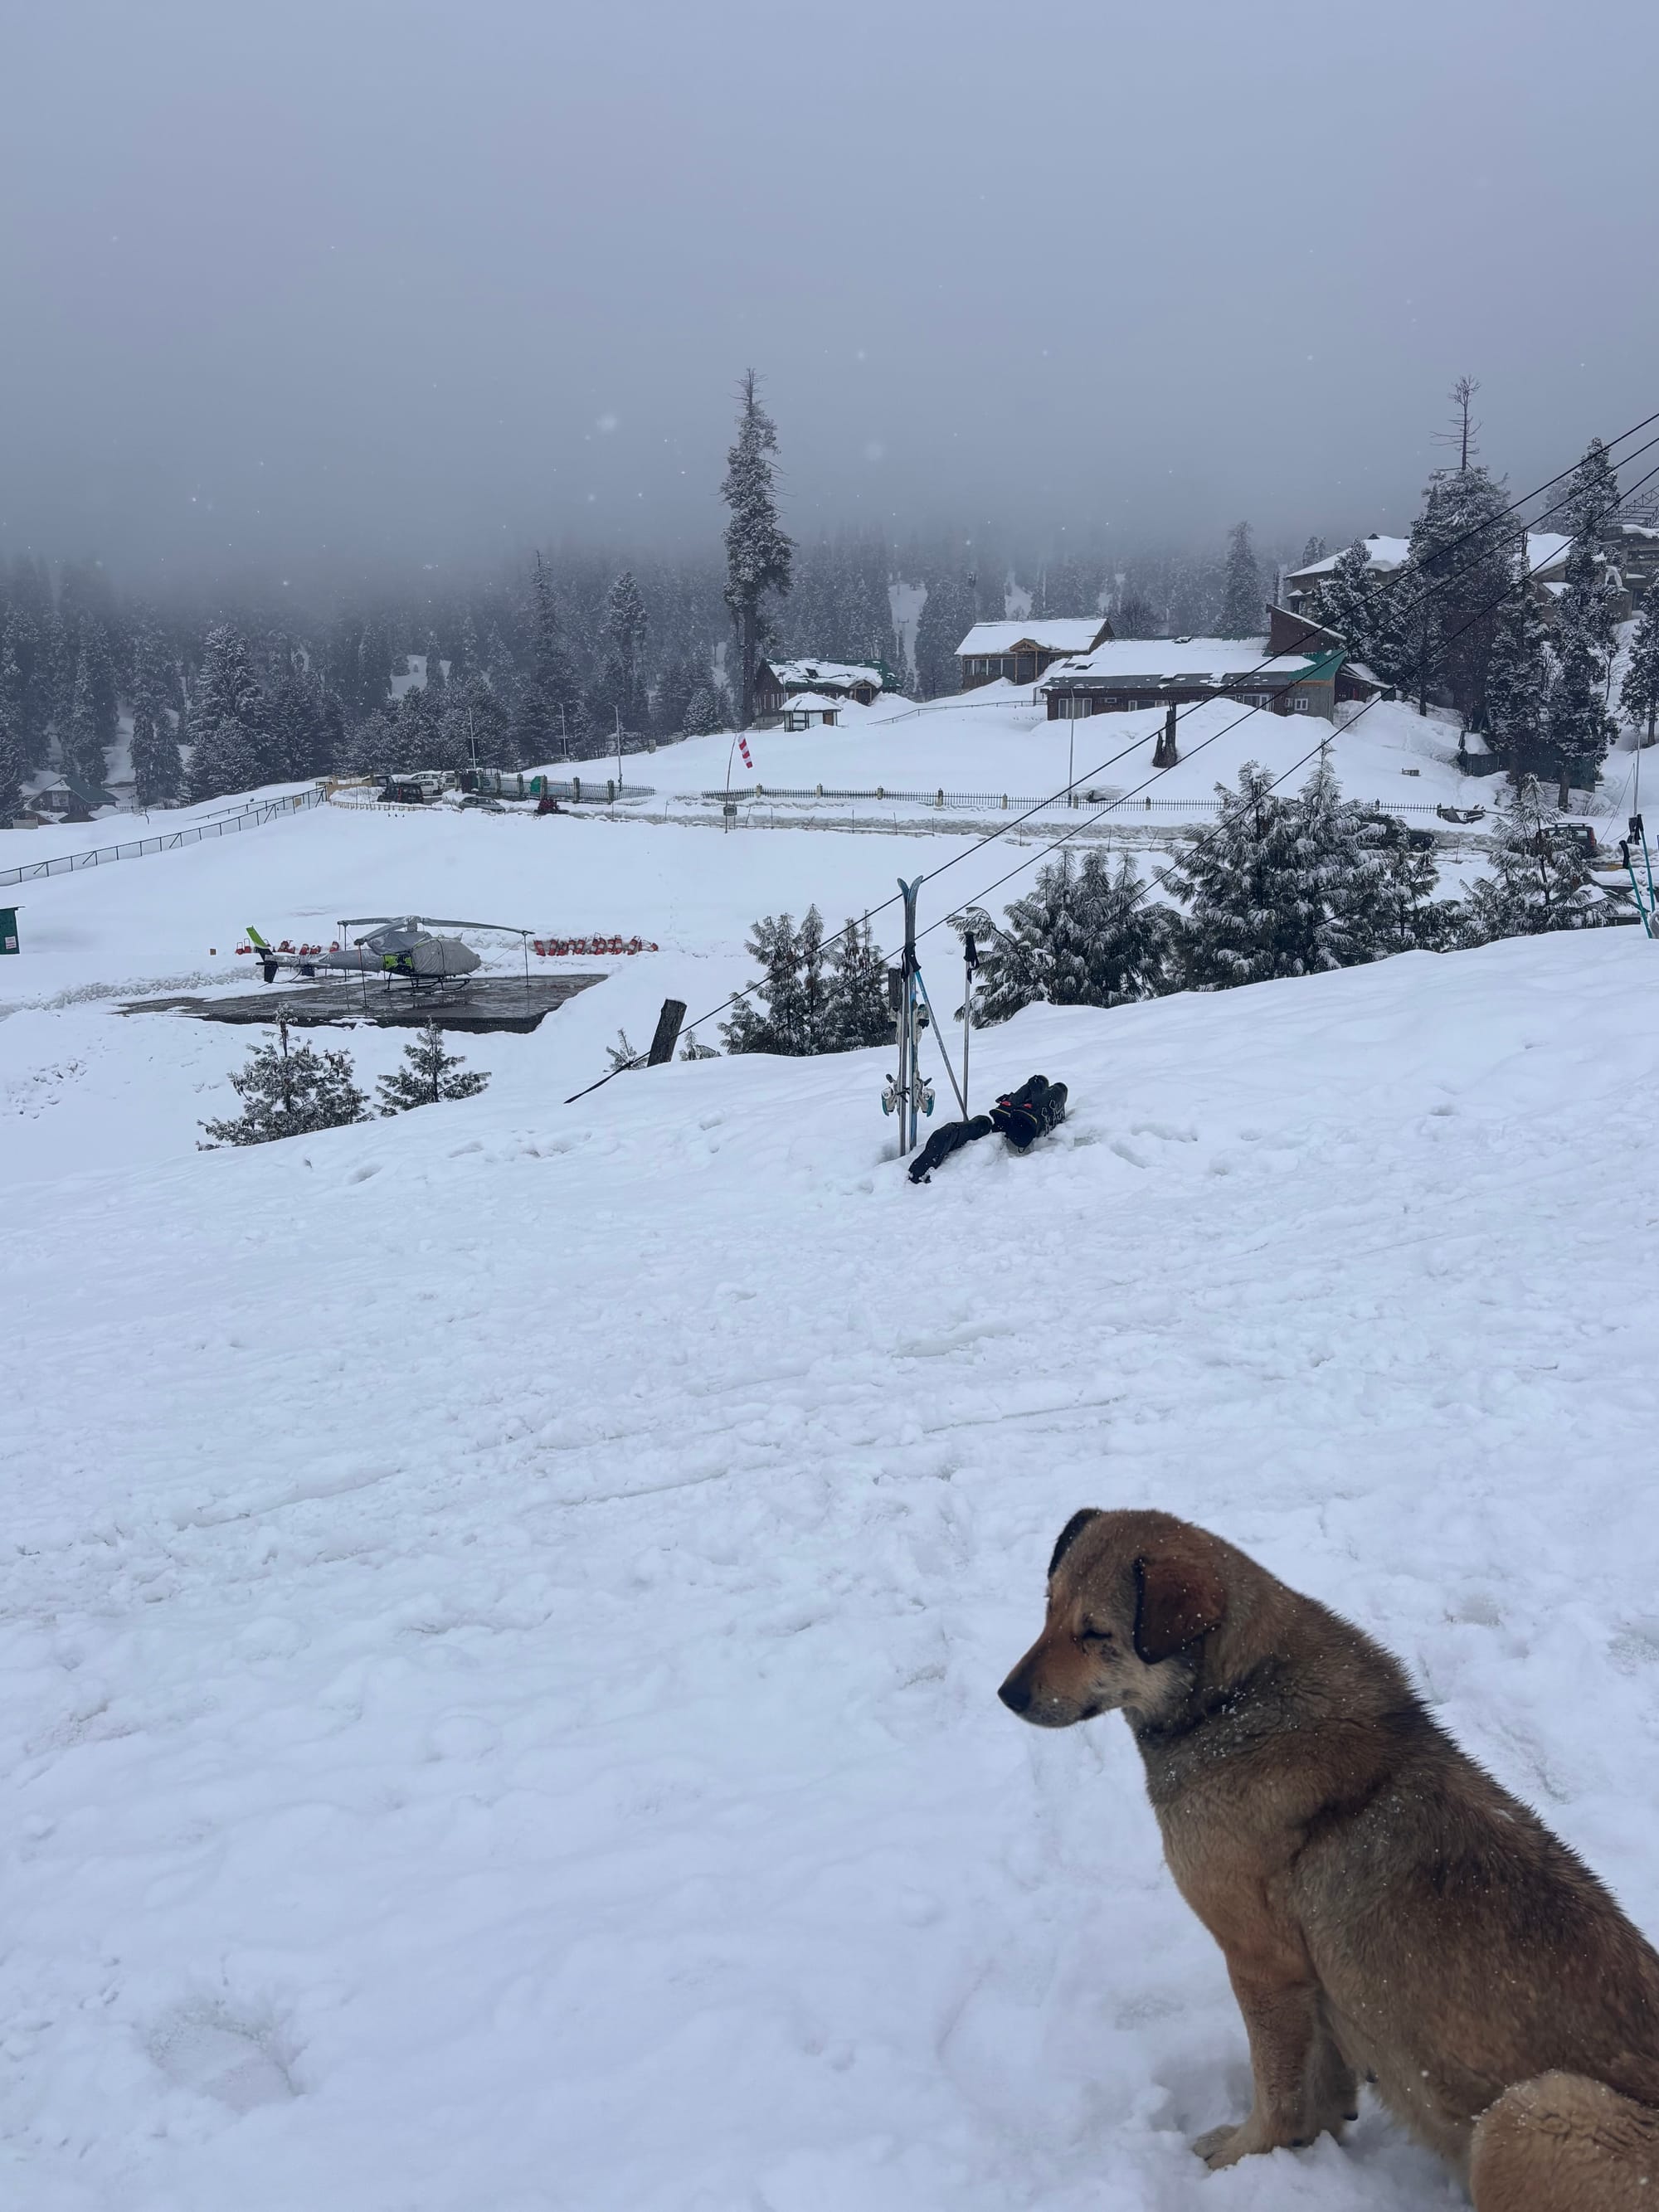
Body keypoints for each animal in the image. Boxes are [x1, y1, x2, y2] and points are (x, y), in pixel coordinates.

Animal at [998, 1508, 1659, 2208]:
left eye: (1096, 1632)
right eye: (1048, 1607)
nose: (1007, 1694)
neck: (1237, 1691)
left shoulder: (1264, 1962)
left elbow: (1277, 2090)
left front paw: (1246, 2155)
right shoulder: (1311, 1982)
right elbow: (1317, 2082)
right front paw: (1308, 2138)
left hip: (1531, 2111)